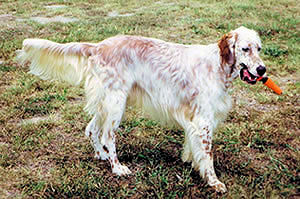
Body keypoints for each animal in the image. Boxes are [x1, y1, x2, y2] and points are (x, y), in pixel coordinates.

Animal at [18, 26, 268, 193]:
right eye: (245, 49)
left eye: (259, 48)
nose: (262, 69)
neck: (218, 64)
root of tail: (98, 46)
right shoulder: (204, 119)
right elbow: (207, 155)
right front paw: (214, 182)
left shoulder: (195, 119)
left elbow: (194, 147)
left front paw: (190, 162)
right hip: (116, 102)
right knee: (108, 135)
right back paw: (117, 167)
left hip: (106, 102)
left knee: (91, 129)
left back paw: (101, 155)